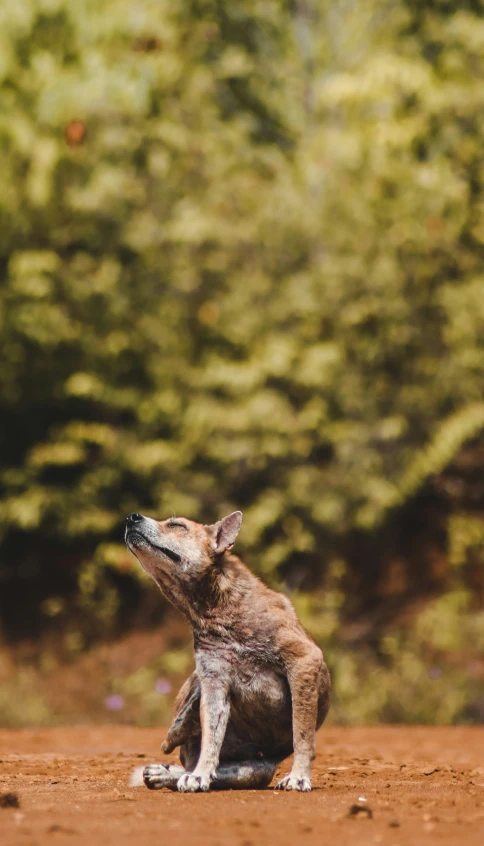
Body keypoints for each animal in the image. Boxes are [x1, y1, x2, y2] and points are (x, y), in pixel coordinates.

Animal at [125, 510, 330, 796]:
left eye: (176, 525)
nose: (131, 517)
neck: (216, 610)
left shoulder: (304, 660)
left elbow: (302, 732)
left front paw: (299, 777)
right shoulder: (213, 683)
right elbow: (212, 738)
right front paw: (198, 776)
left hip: (259, 770)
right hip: (197, 685)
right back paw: (171, 763)